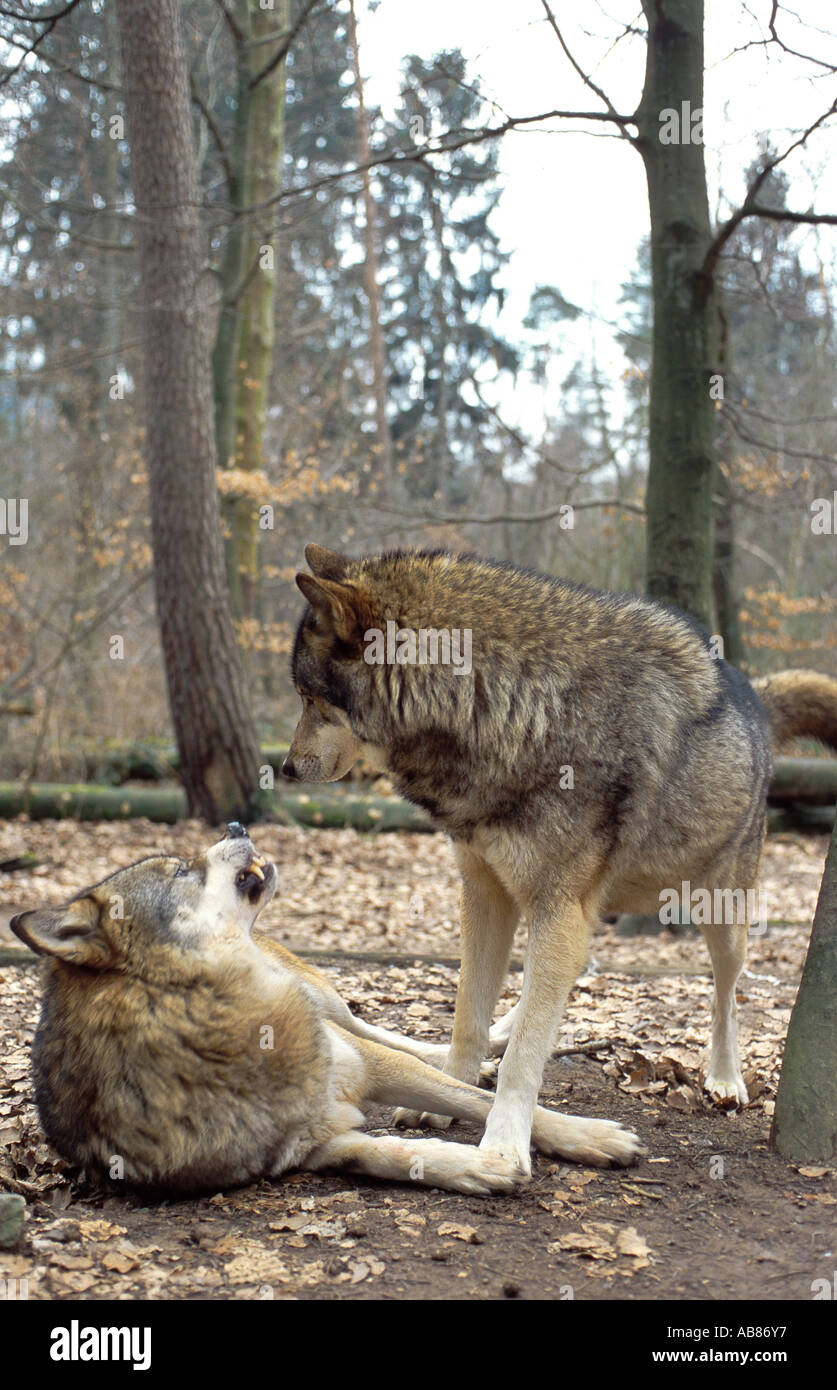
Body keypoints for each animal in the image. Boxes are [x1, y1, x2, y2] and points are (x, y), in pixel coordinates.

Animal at [9, 822, 639, 1195]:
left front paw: (584, 1136)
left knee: (385, 1033)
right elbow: (394, 1154)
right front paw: (477, 1167)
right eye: (181, 870)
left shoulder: (366, 1065)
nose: (236, 824)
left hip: (325, 1002)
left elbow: (480, 1102)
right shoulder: (314, 1148)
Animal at [283, 542, 834, 1184]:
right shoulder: (486, 893)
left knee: (726, 996)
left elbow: (523, 1056)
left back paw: (724, 1078)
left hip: (718, 916)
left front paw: (503, 1146)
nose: (286, 767)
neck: (505, 707)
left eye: (310, 699)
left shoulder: (557, 907)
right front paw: (447, 1101)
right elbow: (468, 1020)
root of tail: (755, 701)